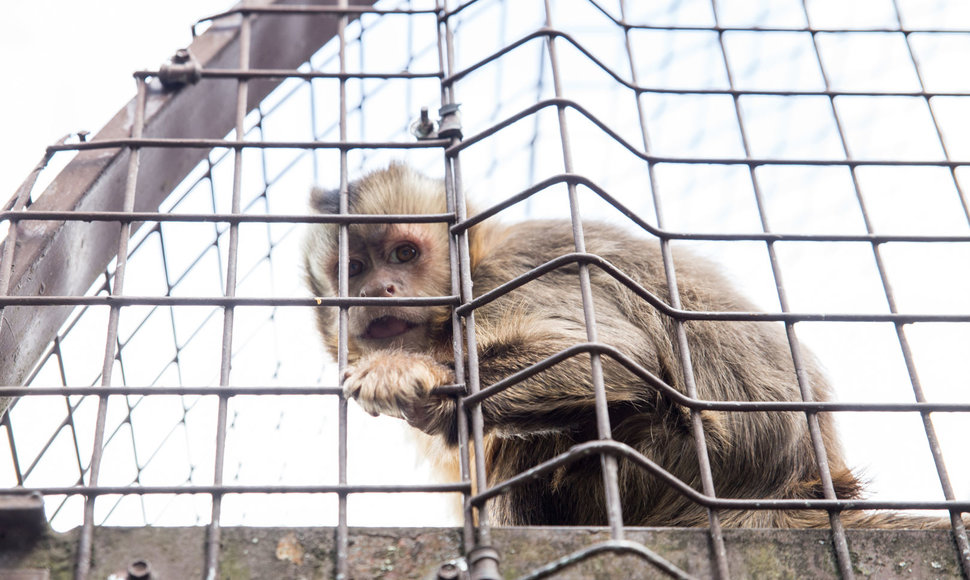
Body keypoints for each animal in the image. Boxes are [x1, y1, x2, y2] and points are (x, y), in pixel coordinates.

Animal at [304, 163, 960, 532]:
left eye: (404, 254)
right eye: (354, 268)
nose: (379, 290)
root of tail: (803, 490)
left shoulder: (508, 273)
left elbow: (613, 354)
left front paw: (415, 378)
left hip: (683, 463)